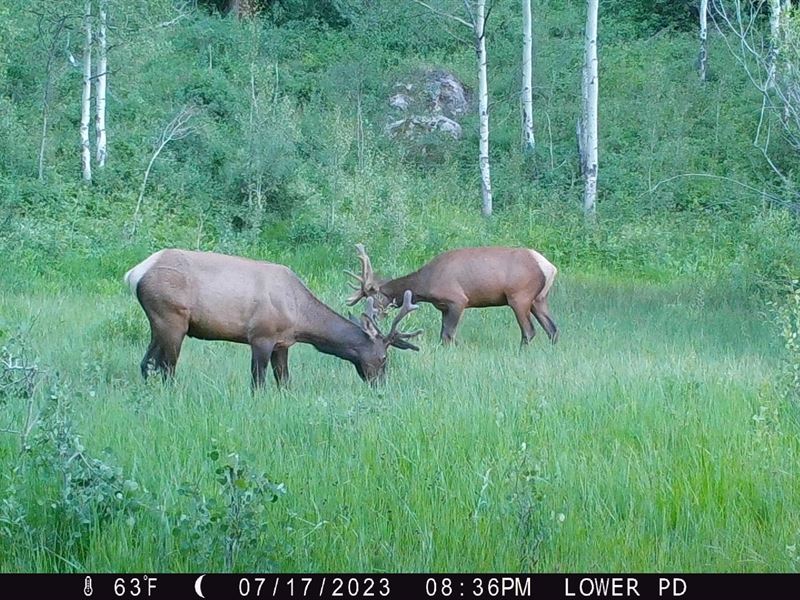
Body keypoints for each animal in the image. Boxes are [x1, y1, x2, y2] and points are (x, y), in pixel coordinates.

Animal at [123, 250, 424, 386]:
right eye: (383, 358)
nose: (380, 385)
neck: (300, 319)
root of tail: (134, 273)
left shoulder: (283, 343)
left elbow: (284, 382)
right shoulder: (261, 336)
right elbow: (258, 382)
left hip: (158, 323)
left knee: (146, 363)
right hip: (172, 318)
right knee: (167, 368)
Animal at [344, 244, 556, 346]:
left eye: (372, 298)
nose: (369, 319)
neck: (425, 284)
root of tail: (550, 268)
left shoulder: (458, 300)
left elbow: (449, 334)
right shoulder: (444, 308)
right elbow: (443, 335)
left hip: (519, 297)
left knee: (529, 331)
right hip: (539, 299)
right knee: (552, 329)